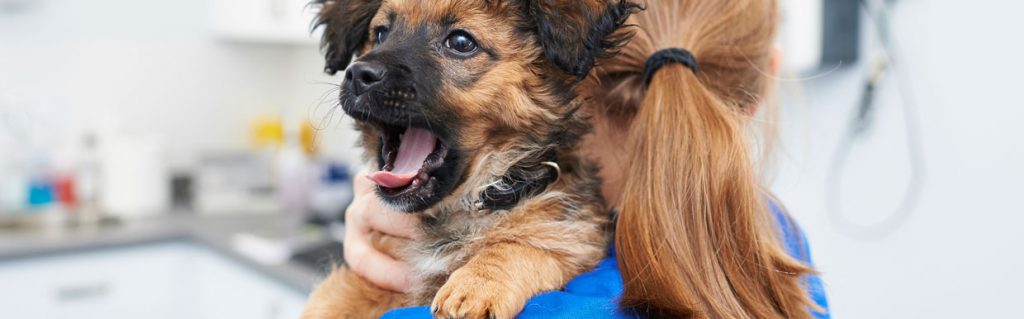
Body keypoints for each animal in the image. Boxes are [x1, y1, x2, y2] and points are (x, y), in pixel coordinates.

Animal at [301, 0, 638, 319]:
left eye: (461, 42)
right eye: (381, 33)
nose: (358, 75)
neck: (470, 199)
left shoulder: (574, 239)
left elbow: (521, 247)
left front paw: (477, 284)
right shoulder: (363, 277)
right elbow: (329, 304)